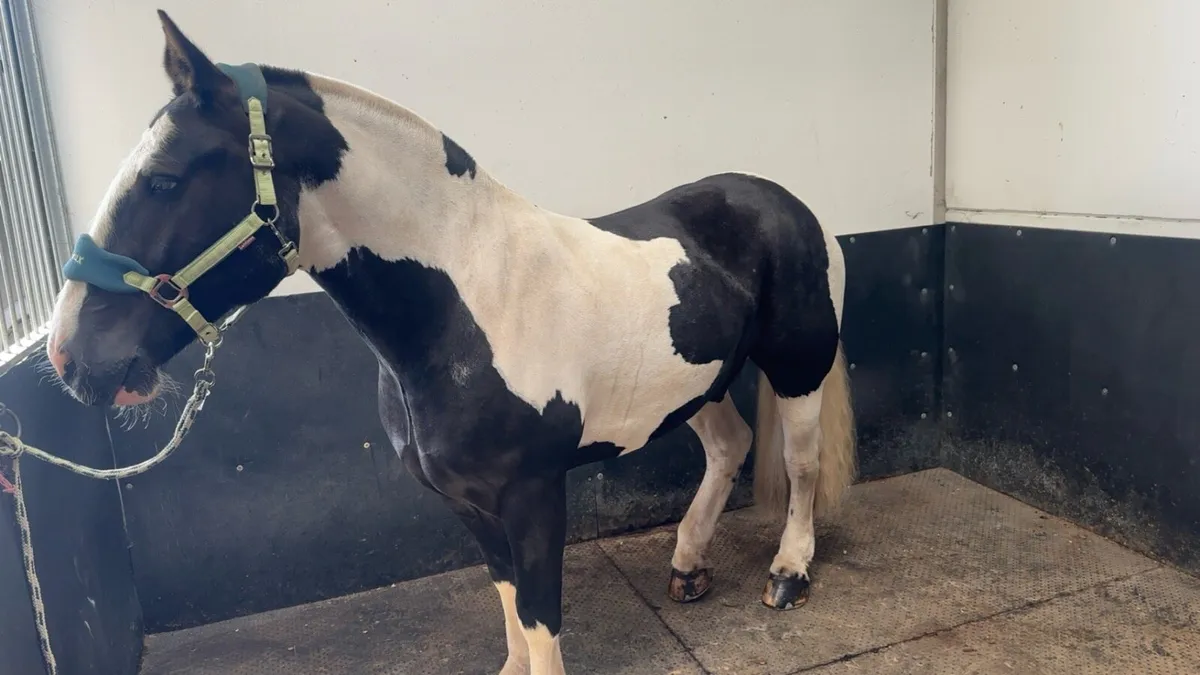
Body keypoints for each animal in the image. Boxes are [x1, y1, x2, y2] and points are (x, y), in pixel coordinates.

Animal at [43, 11, 855, 674]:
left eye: (164, 180)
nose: (69, 357)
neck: (471, 304)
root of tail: (785, 200)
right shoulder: (467, 502)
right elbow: (510, 604)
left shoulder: (533, 495)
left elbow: (541, 615)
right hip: (697, 382)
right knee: (729, 445)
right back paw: (688, 567)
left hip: (798, 366)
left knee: (801, 462)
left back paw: (788, 573)